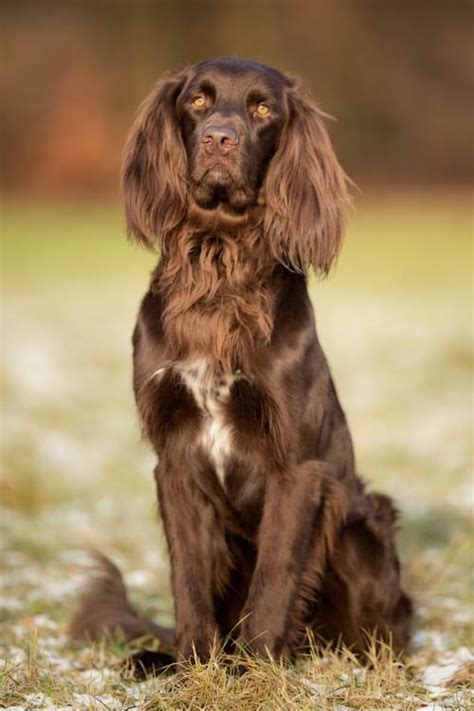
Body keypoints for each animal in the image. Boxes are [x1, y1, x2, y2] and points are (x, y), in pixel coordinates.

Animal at [69, 57, 412, 672]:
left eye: (262, 109)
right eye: (198, 102)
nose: (218, 140)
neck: (217, 263)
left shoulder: (297, 467)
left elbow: (276, 577)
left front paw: (255, 672)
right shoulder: (174, 458)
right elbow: (187, 576)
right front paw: (194, 667)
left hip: (362, 524)